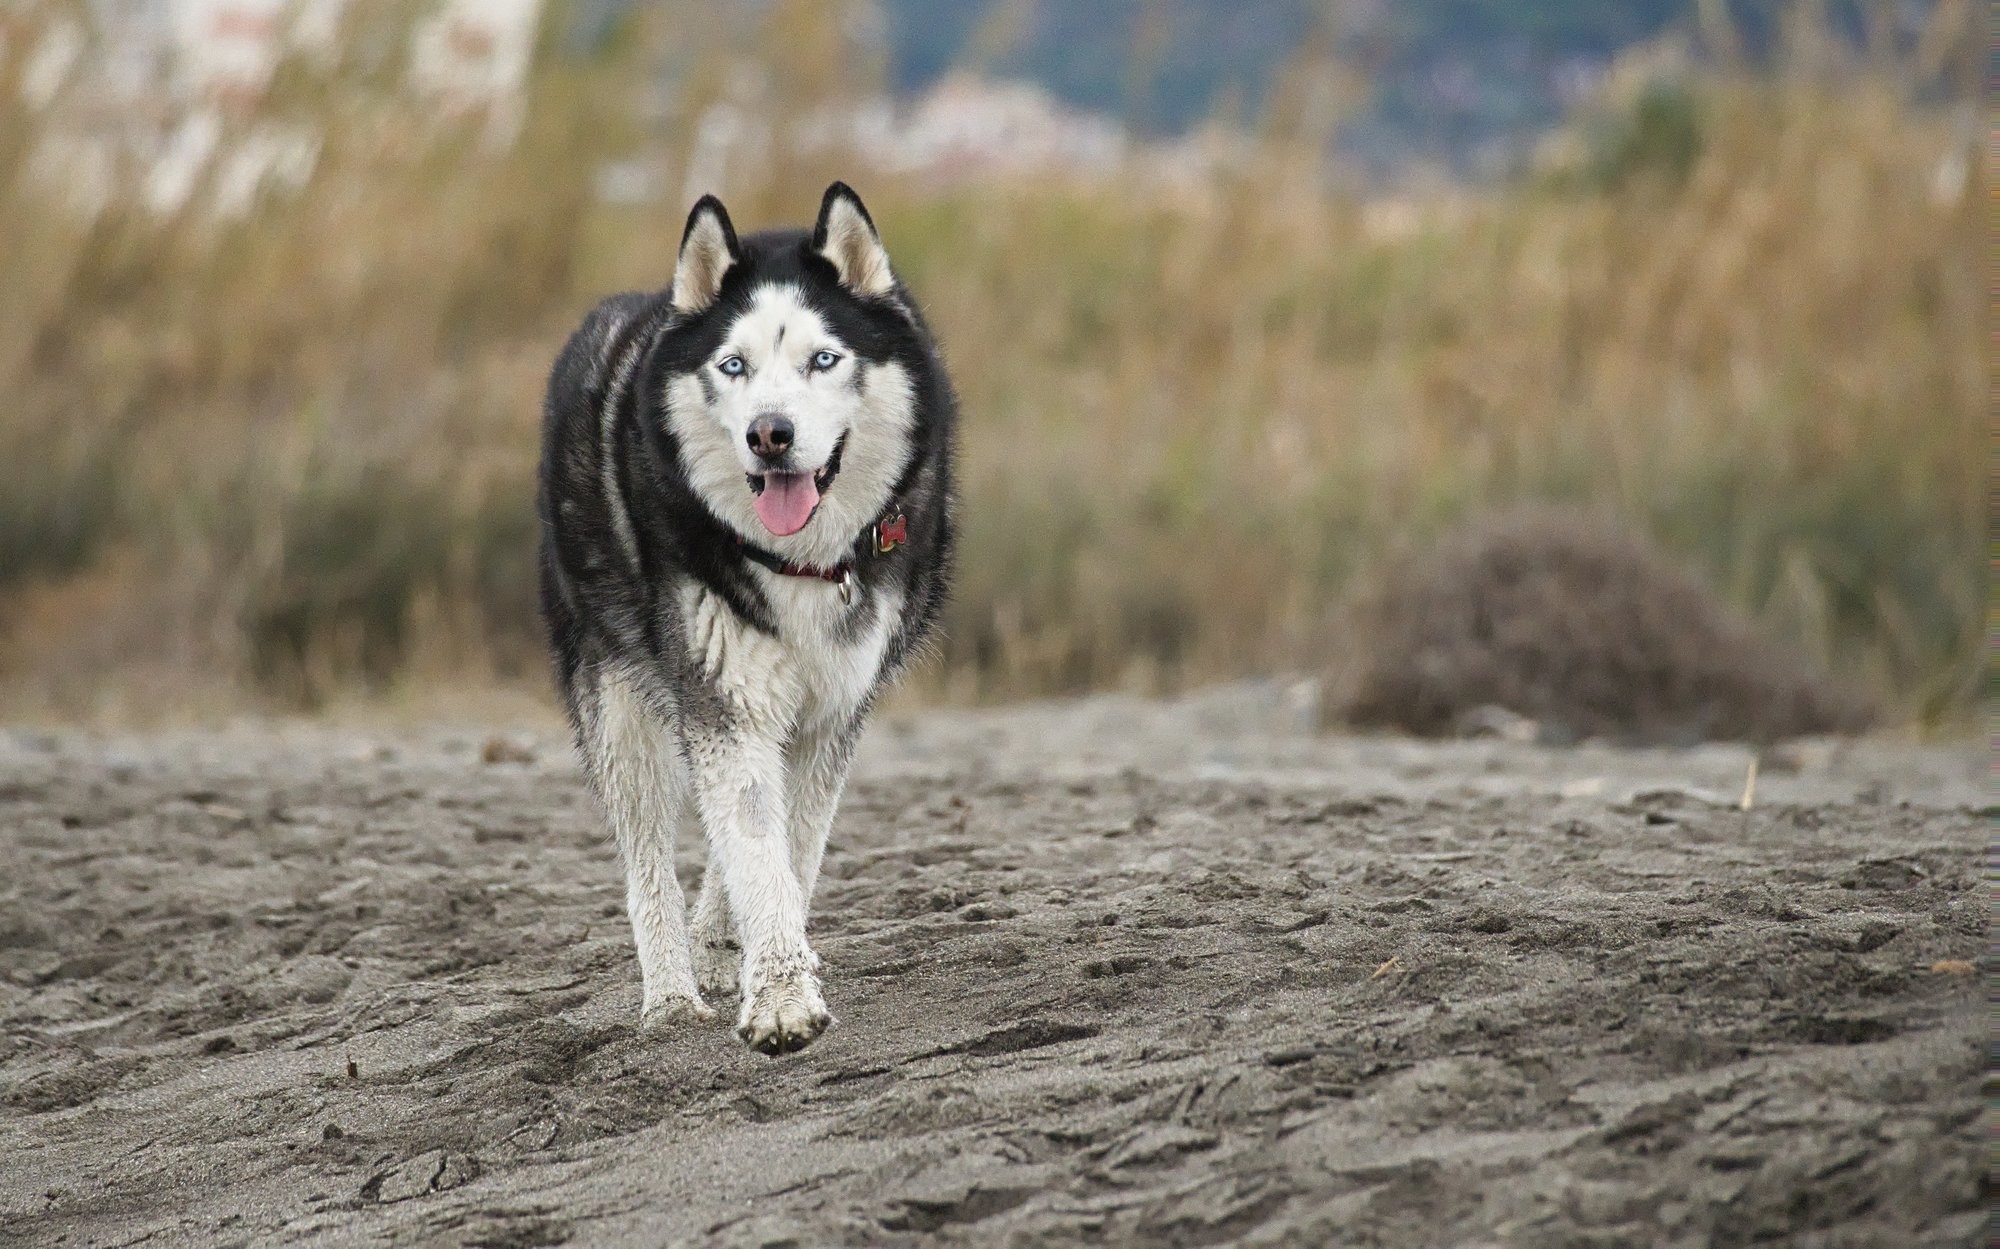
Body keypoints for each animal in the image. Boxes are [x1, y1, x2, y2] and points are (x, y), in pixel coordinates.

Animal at [540, 180, 952, 1048]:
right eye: (734, 365)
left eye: (822, 358)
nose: (771, 434)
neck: (800, 563)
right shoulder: (726, 702)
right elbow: (758, 852)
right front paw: (782, 1002)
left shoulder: (833, 712)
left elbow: (788, 847)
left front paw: (757, 956)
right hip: (620, 710)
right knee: (649, 859)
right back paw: (671, 994)